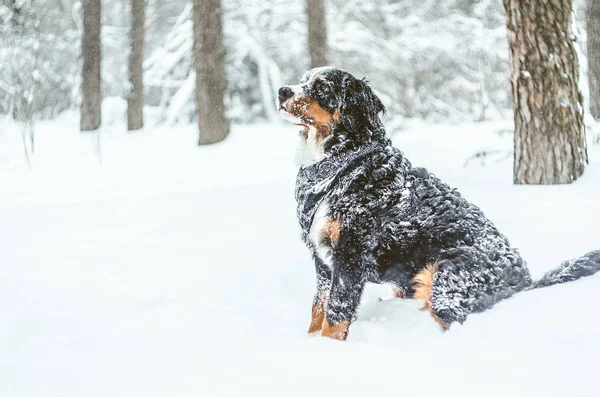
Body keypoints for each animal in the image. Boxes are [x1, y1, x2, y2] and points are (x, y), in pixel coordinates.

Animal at [276, 66, 600, 338]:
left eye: (322, 87)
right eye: (303, 80)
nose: (282, 91)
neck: (341, 165)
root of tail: (523, 278)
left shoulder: (351, 254)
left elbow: (335, 313)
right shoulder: (323, 259)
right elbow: (318, 309)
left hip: (445, 279)